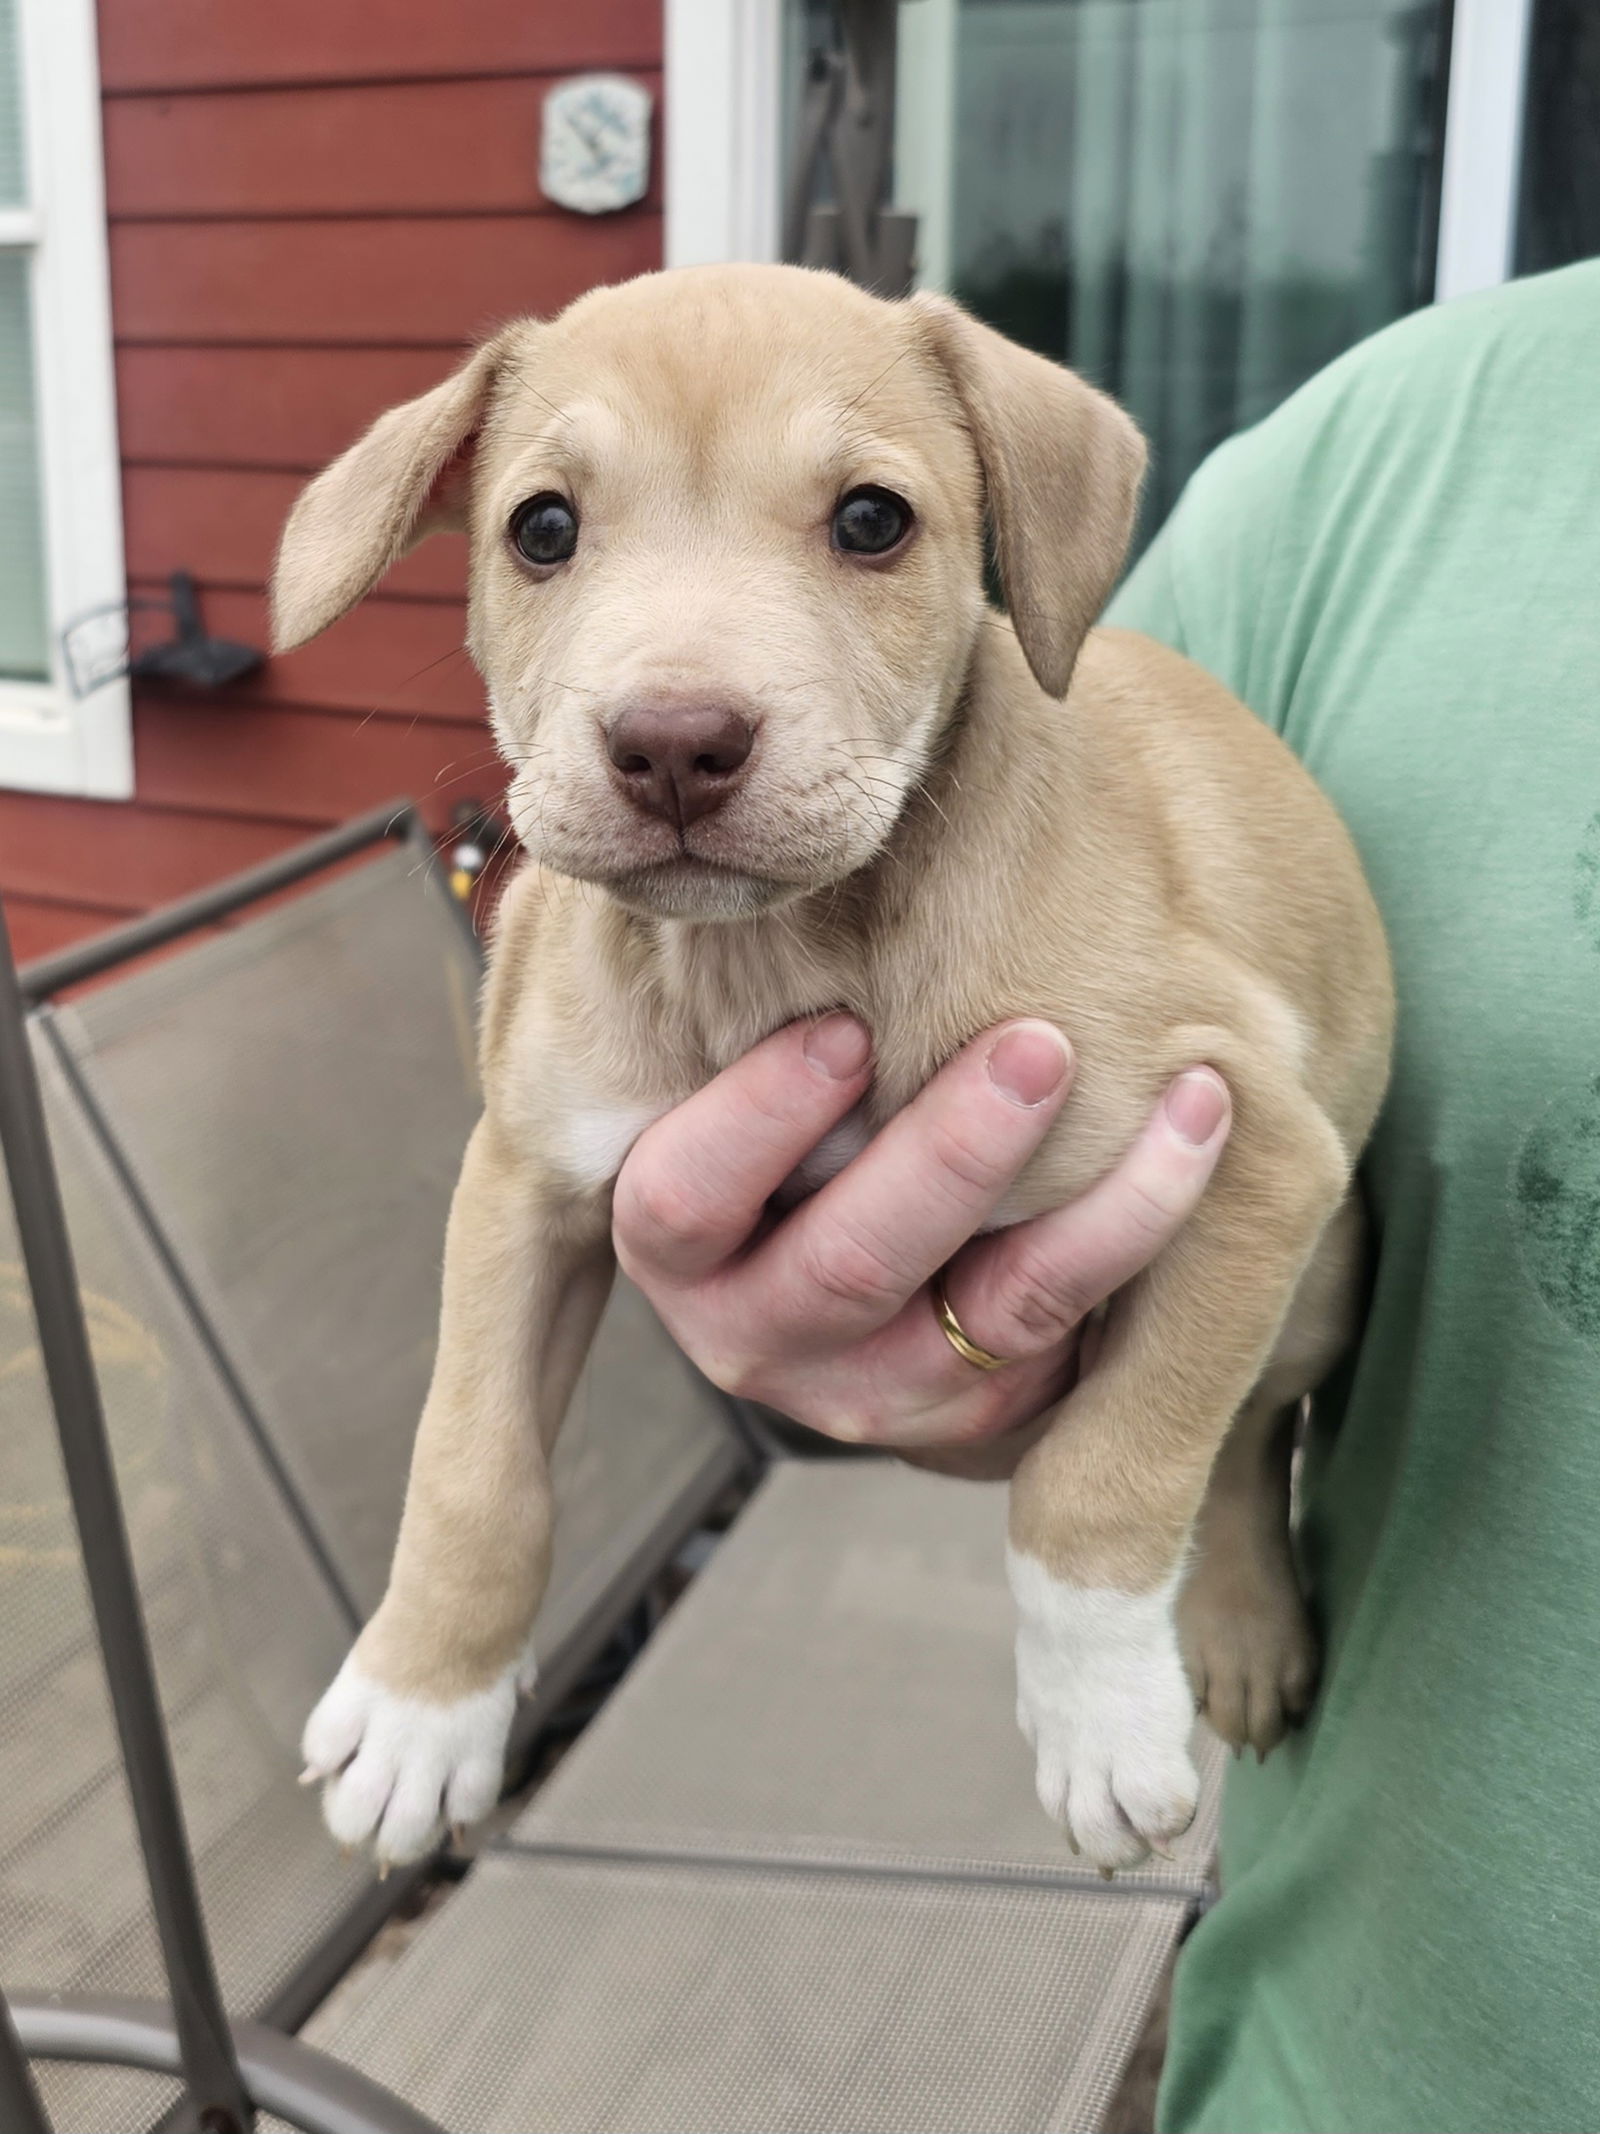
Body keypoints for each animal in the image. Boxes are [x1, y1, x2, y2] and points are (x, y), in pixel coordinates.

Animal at [275, 262, 1390, 1869]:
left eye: (872, 519)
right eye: (541, 527)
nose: (676, 743)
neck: (769, 959)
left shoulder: (1252, 1143)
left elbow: (1113, 1466)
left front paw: (1102, 1723)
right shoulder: (527, 1178)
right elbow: (472, 1460)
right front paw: (424, 1705)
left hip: (1319, 1274)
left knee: (1245, 1433)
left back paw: (1235, 1630)